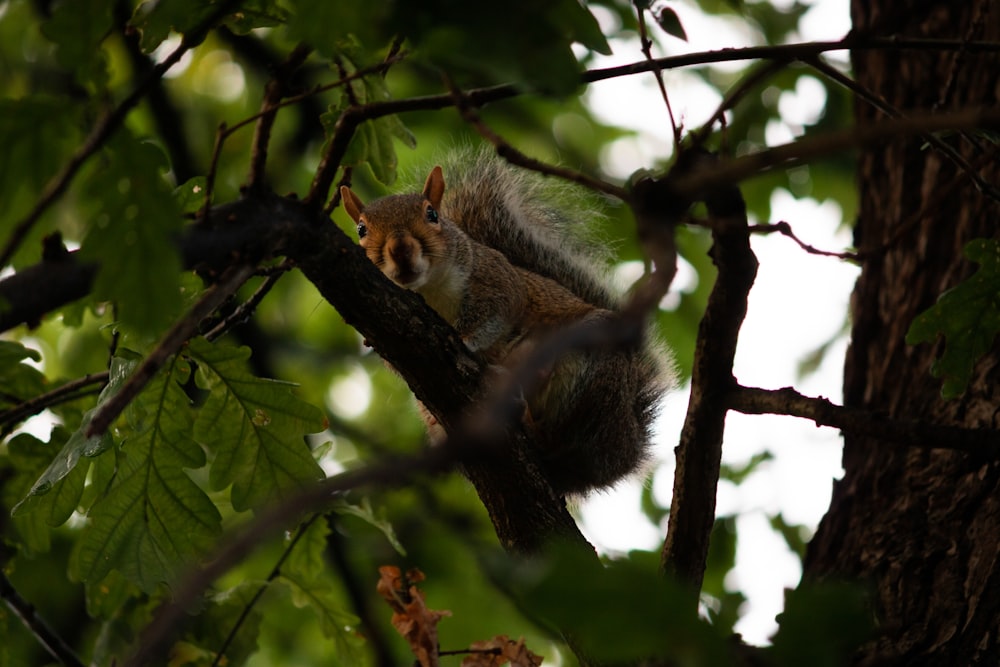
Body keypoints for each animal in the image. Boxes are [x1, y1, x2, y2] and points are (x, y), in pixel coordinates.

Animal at [340, 151, 668, 496]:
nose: (400, 249)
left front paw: (465, 340)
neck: (429, 291)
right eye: (361, 230)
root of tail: (627, 446)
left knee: (565, 448)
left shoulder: (497, 277)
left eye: (431, 214)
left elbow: (501, 310)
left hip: (594, 370)